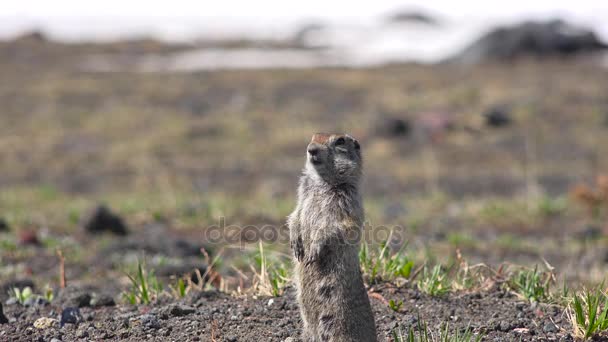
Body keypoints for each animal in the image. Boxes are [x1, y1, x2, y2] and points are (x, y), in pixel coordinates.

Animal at [288, 133, 378, 342]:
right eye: (313, 136)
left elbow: (334, 226)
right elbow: (295, 214)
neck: (322, 182)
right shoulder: (302, 194)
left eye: (340, 141)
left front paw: (313, 251)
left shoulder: (347, 202)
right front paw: (296, 243)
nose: (311, 149)